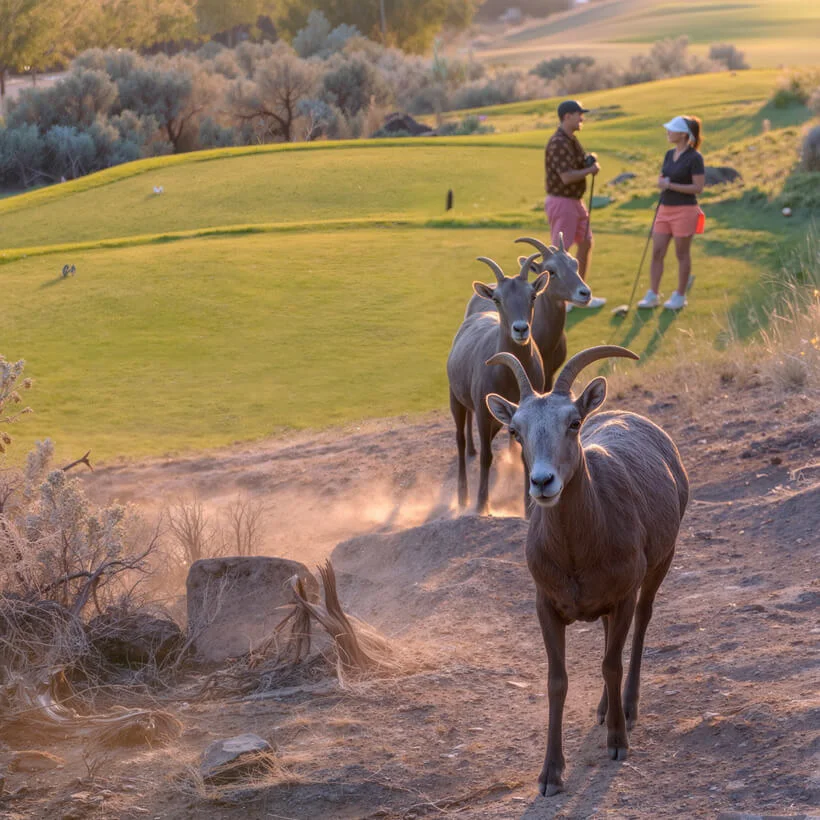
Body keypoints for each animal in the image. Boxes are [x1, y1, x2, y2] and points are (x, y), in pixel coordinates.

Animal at [447, 253, 548, 515]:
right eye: (497, 299)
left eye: (533, 296)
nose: (520, 329)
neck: (509, 376)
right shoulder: (484, 412)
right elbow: (486, 457)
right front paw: (482, 505)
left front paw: (528, 507)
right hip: (455, 399)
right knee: (460, 441)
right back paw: (463, 496)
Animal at [461, 233, 589, 458]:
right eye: (552, 271)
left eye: (575, 263)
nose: (584, 293)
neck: (546, 344)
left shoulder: (549, 377)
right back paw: (471, 449)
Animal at [484, 345, 689, 796]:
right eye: (516, 431)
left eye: (573, 423)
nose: (543, 482)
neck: (577, 554)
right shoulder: (546, 606)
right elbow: (557, 681)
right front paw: (550, 775)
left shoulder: (624, 595)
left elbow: (611, 664)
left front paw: (617, 743)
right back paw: (603, 708)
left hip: (660, 565)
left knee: (640, 627)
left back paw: (625, 708)